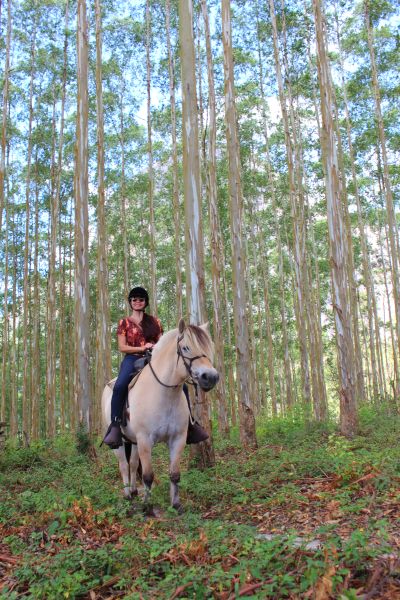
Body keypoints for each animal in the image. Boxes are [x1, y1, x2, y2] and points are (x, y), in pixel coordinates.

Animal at [100, 318, 219, 510]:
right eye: (186, 348)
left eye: (209, 347)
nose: (211, 377)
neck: (164, 394)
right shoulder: (145, 439)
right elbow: (148, 475)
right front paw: (147, 506)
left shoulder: (177, 439)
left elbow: (175, 474)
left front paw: (176, 504)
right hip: (120, 442)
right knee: (124, 465)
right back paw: (127, 496)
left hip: (133, 441)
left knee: (133, 464)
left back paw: (133, 491)